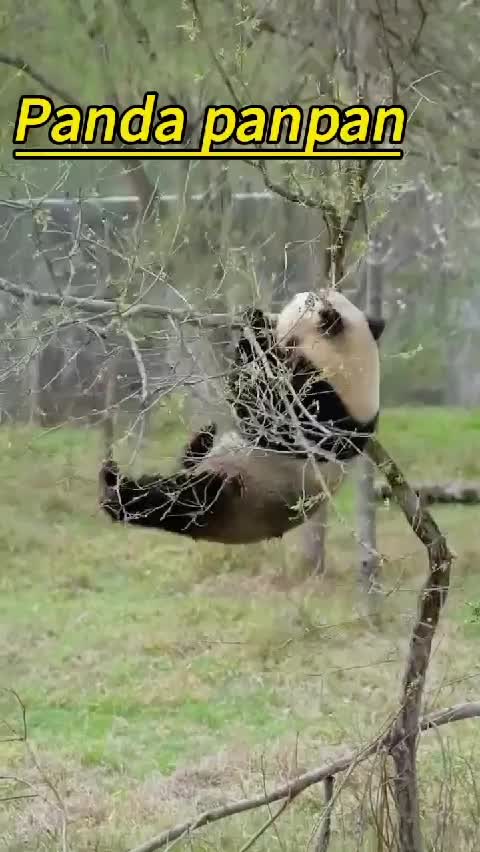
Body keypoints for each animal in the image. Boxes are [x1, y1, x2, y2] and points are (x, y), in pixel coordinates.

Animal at [99, 289, 385, 544]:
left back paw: (117, 492)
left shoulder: (322, 414)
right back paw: (200, 441)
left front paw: (256, 325)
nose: (271, 314)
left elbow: (258, 410)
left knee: (178, 500)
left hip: (234, 496)